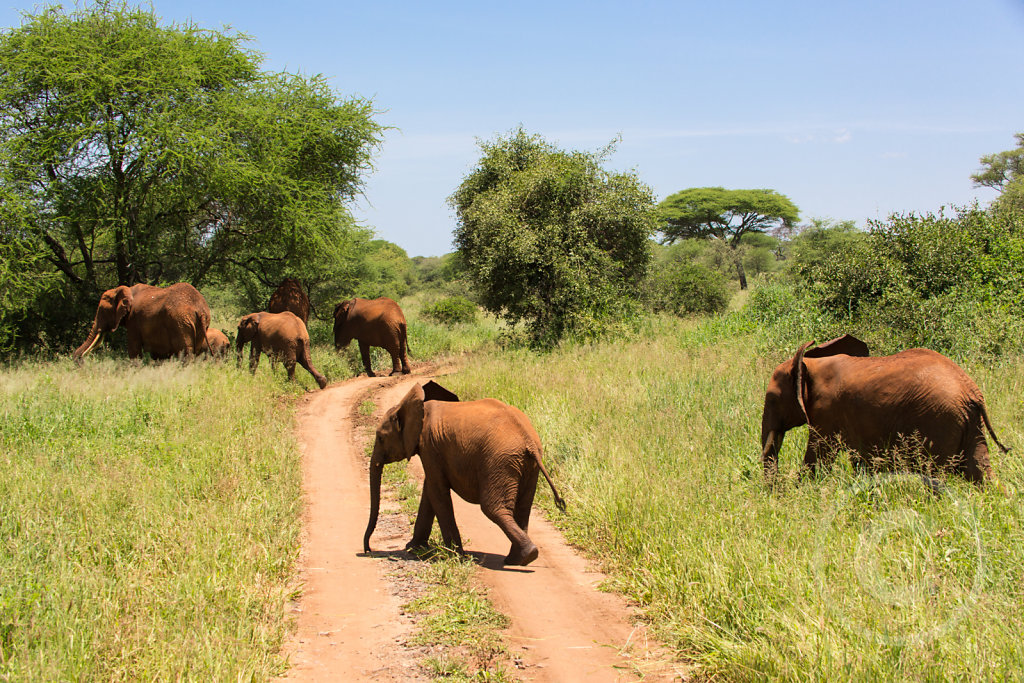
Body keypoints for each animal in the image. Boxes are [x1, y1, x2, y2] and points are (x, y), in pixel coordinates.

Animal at [73, 282, 209, 362]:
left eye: (102, 311)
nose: (77, 358)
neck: (125, 290)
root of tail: (199, 308)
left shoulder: (133, 320)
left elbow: (134, 349)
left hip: (179, 322)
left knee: (185, 351)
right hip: (199, 324)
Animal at [362, 378, 569, 565]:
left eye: (380, 438)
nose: (368, 549)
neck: (418, 407)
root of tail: (528, 440)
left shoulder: (429, 445)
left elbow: (437, 493)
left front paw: (454, 555)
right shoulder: (433, 451)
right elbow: (430, 492)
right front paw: (413, 548)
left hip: (499, 462)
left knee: (493, 508)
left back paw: (524, 556)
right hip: (526, 465)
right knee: (523, 508)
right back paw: (518, 559)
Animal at [761, 333, 1007, 483]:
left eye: (772, 399)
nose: (775, 489)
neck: (810, 364)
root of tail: (971, 391)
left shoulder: (826, 411)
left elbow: (818, 456)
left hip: (940, 421)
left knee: (935, 473)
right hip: (969, 422)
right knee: (981, 471)